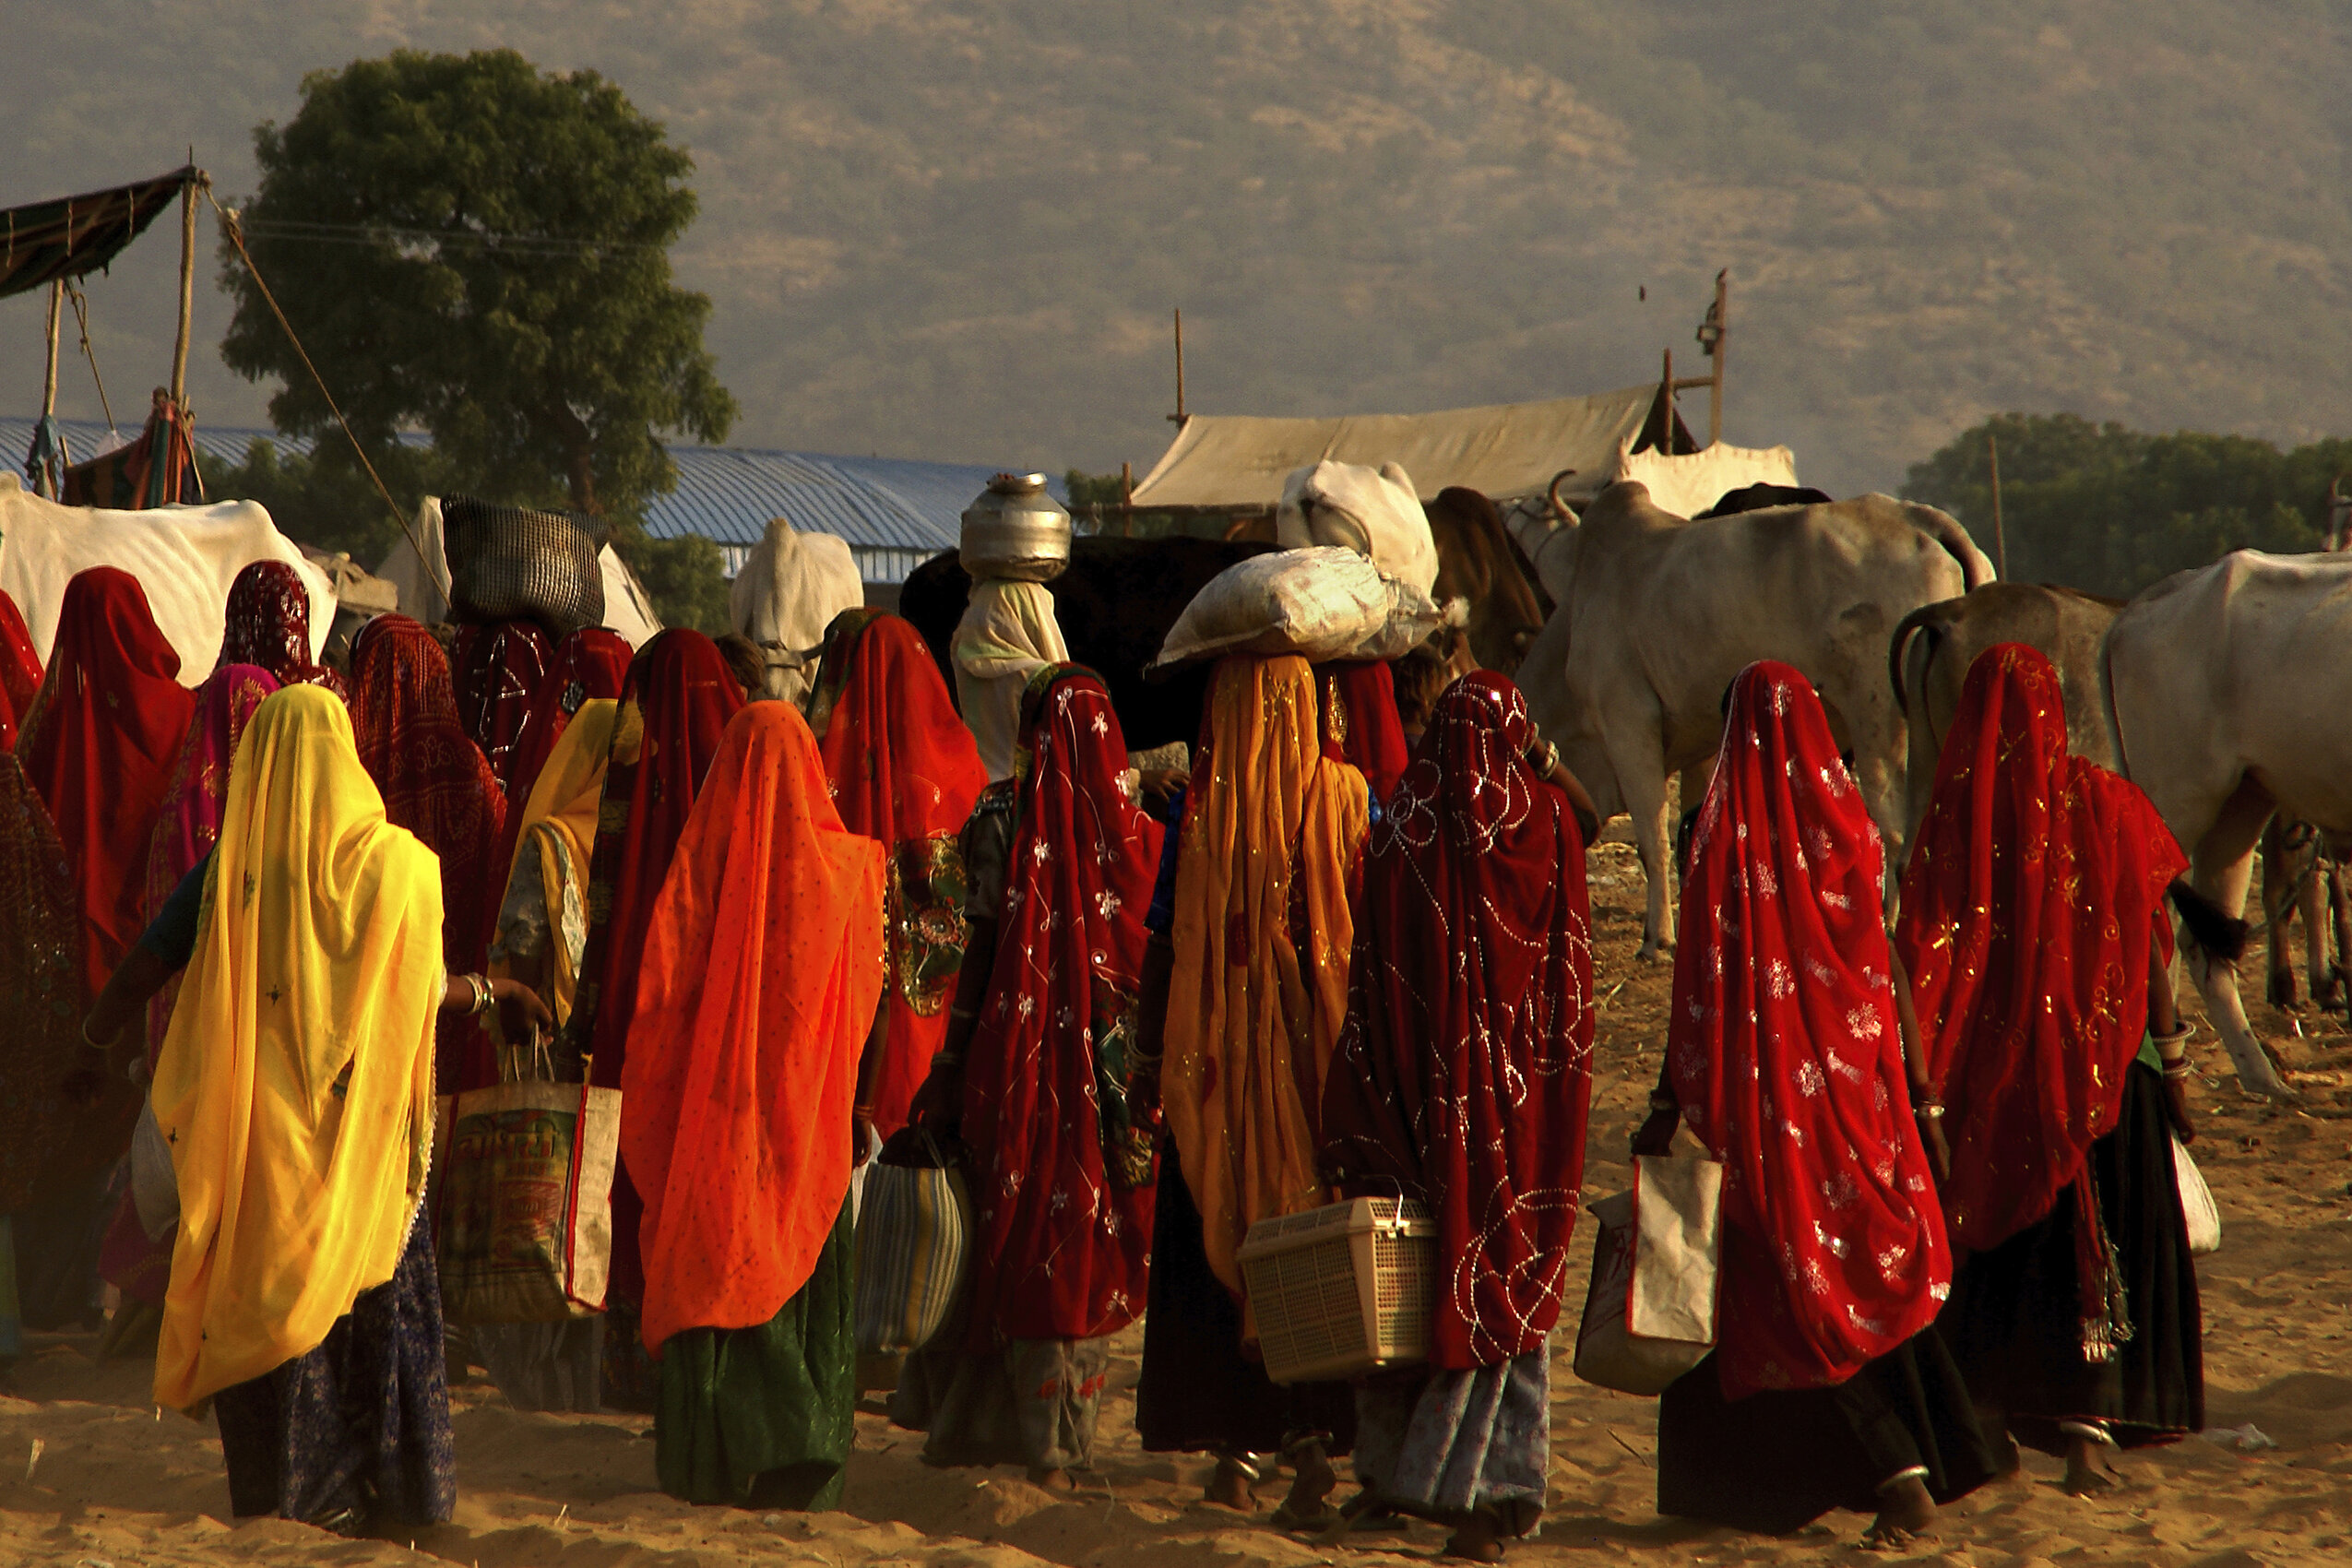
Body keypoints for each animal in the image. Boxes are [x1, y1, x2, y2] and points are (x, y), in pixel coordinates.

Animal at [1515, 484, 1994, 963]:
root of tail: (1919, 519)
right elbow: (1693, 836)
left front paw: (1658, 940)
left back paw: (1887, 923)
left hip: (1878, 718)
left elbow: (1653, 840)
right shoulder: (1701, 737)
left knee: (1891, 824)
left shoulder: (1627, 726)